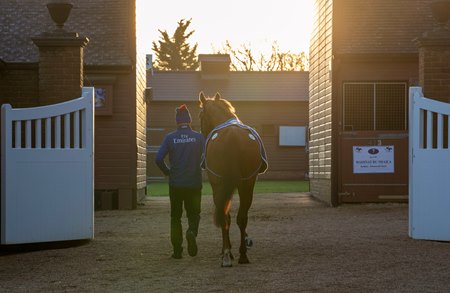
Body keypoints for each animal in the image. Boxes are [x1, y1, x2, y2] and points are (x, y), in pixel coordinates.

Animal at [198, 92, 268, 266]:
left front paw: (226, 250)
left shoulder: (216, 184)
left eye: (200, 114)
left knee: (225, 216)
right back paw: (242, 254)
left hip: (220, 183)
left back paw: (226, 255)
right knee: (242, 217)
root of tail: (232, 138)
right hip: (247, 183)